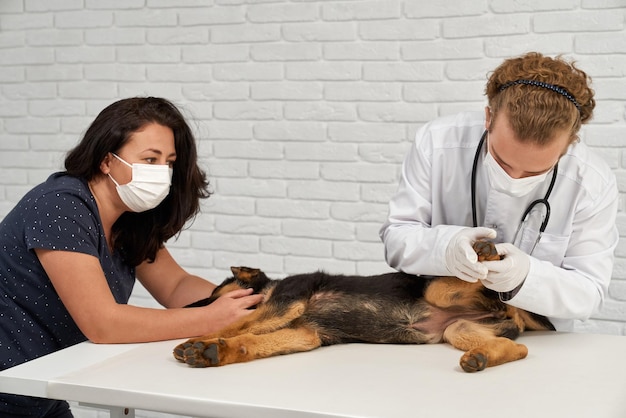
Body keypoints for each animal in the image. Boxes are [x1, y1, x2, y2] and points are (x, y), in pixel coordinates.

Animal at [174, 242, 552, 372]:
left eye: (213, 293)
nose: (191, 306)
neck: (268, 289)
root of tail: (510, 310)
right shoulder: (305, 334)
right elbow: (250, 340)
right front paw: (215, 351)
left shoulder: (287, 300)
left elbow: (239, 326)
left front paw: (201, 339)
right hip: (460, 329)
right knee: (517, 348)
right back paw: (482, 357)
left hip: (439, 291)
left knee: (484, 279)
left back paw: (486, 252)